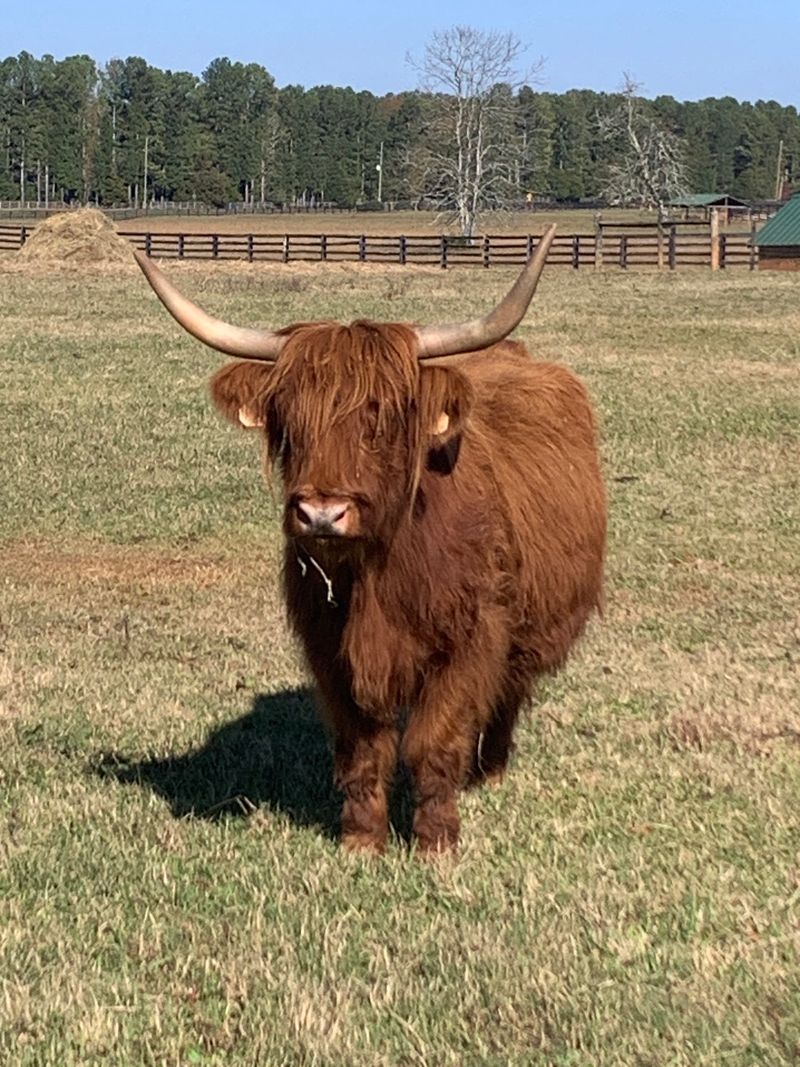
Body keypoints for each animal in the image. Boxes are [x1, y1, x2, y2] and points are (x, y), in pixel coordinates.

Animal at [134, 224, 606, 856]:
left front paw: (436, 841)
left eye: (380, 417)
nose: (321, 514)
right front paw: (360, 838)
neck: (379, 572)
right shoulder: (330, 649)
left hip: (532, 625)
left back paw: (491, 771)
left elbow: (435, 741)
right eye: (288, 419)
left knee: (510, 691)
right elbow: (362, 748)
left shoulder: (470, 640)